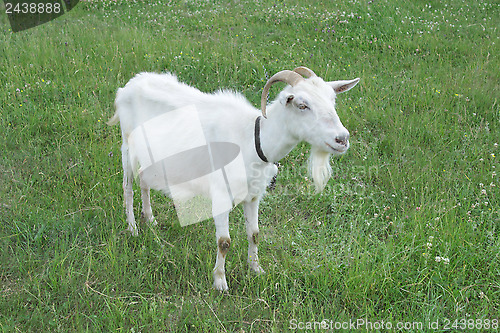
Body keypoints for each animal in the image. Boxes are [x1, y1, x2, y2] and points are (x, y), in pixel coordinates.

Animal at [108, 66, 360, 290]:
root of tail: (128, 86)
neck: (252, 140)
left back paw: (150, 220)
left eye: (332, 100)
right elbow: (224, 242)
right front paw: (220, 282)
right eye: (302, 104)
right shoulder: (220, 195)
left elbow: (254, 234)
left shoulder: (254, 195)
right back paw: (133, 228)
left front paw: (256, 269)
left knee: (144, 179)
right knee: (128, 187)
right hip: (127, 146)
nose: (342, 139)